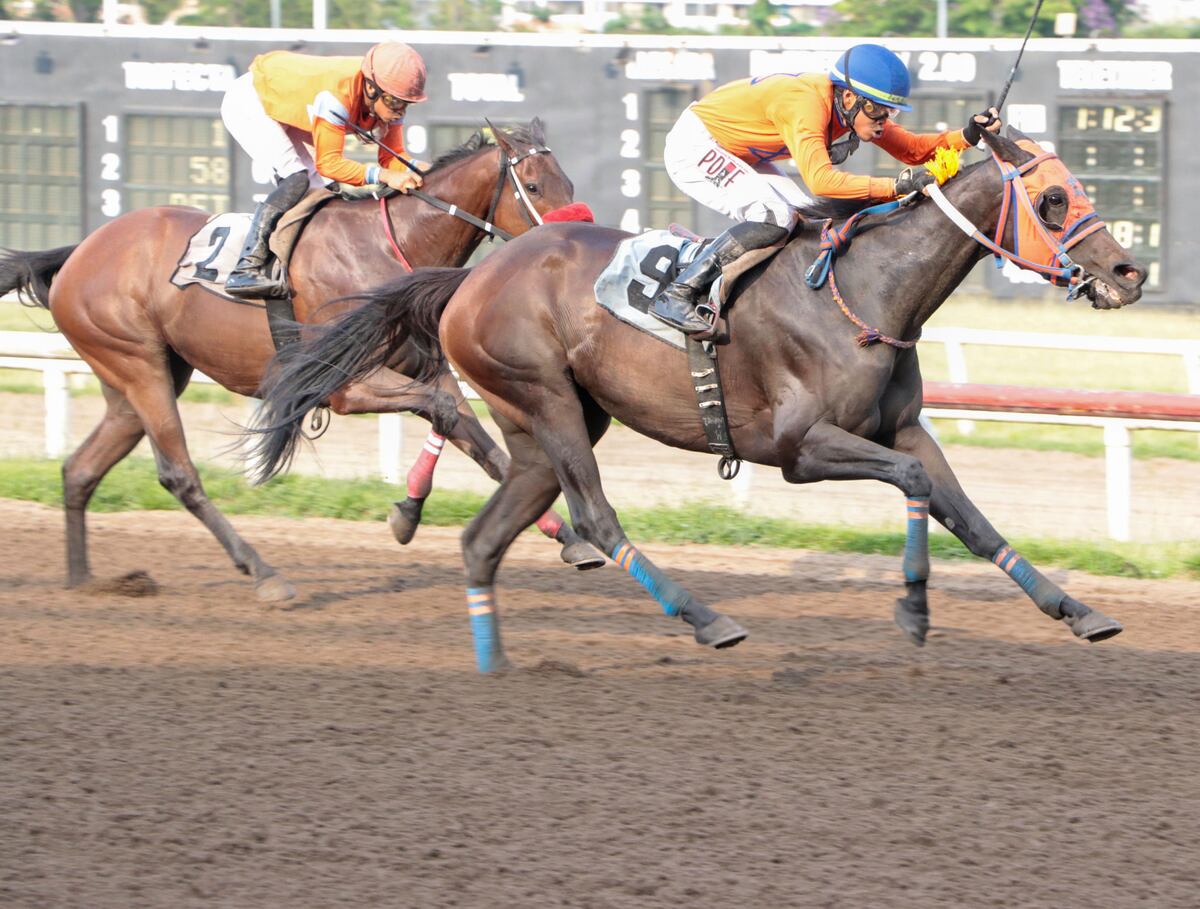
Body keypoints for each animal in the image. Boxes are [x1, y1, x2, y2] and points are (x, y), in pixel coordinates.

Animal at [0, 119, 603, 602]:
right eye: (532, 185)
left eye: (570, 183)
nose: (575, 237)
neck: (391, 246)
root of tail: (79, 250)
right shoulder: (344, 386)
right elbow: (445, 413)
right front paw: (407, 515)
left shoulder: (424, 369)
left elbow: (479, 441)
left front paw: (571, 540)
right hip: (138, 365)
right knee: (178, 474)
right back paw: (264, 574)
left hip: (134, 379)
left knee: (81, 469)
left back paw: (83, 582)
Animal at [249, 127, 1148, 671]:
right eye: (1054, 199)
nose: (1128, 271)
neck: (864, 290)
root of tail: (469, 277)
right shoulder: (800, 449)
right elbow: (920, 487)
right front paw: (915, 609)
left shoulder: (902, 427)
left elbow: (970, 511)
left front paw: (1076, 608)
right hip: (548, 401)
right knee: (596, 518)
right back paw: (705, 616)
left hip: (547, 423)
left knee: (482, 539)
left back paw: (495, 661)